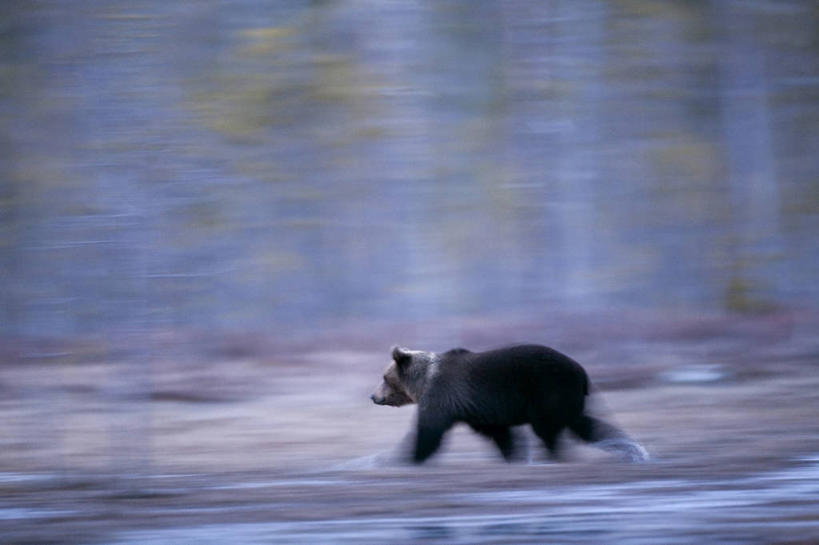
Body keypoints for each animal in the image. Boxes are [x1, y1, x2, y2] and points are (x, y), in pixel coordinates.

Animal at [370, 344, 648, 464]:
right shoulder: (477, 409)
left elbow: (428, 433)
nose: (373, 396)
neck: (424, 381)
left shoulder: (443, 397)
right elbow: (501, 434)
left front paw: (401, 458)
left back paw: (555, 455)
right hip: (568, 399)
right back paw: (630, 448)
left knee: (549, 429)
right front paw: (514, 455)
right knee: (586, 424)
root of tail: (582, 373)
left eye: (384, 377)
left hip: (548, 391)